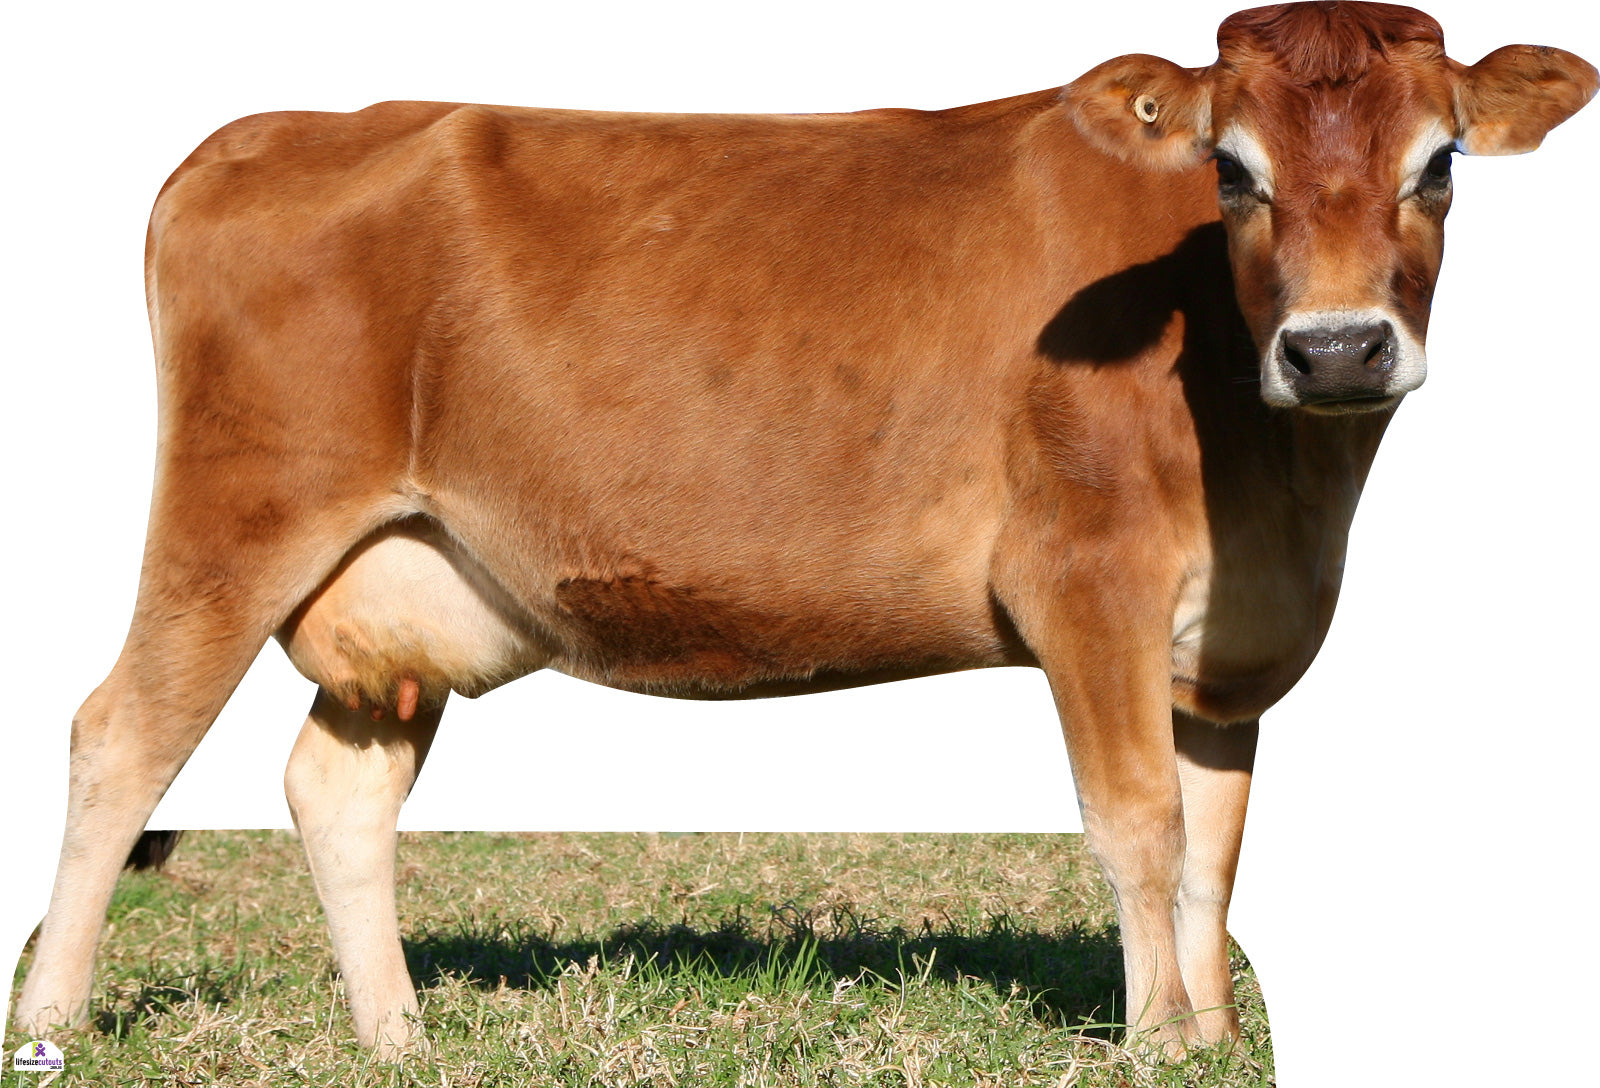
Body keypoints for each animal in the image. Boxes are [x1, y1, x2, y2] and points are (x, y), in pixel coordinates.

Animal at [12, 0, 1595, 1060]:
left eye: (1441, 164)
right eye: (1231, 172)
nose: (1336, 350)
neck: (1283, 486)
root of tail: (274, 128)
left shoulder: (1228, 629)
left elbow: (1217, 843)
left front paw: (1205, 1041)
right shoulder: (1090, 578)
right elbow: (1139, 819)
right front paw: (1153, 1042)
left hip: (414, 579)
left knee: (335, 786)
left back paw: (399, 1038)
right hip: (236, 515)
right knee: (120, 734)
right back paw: (51, 1021)